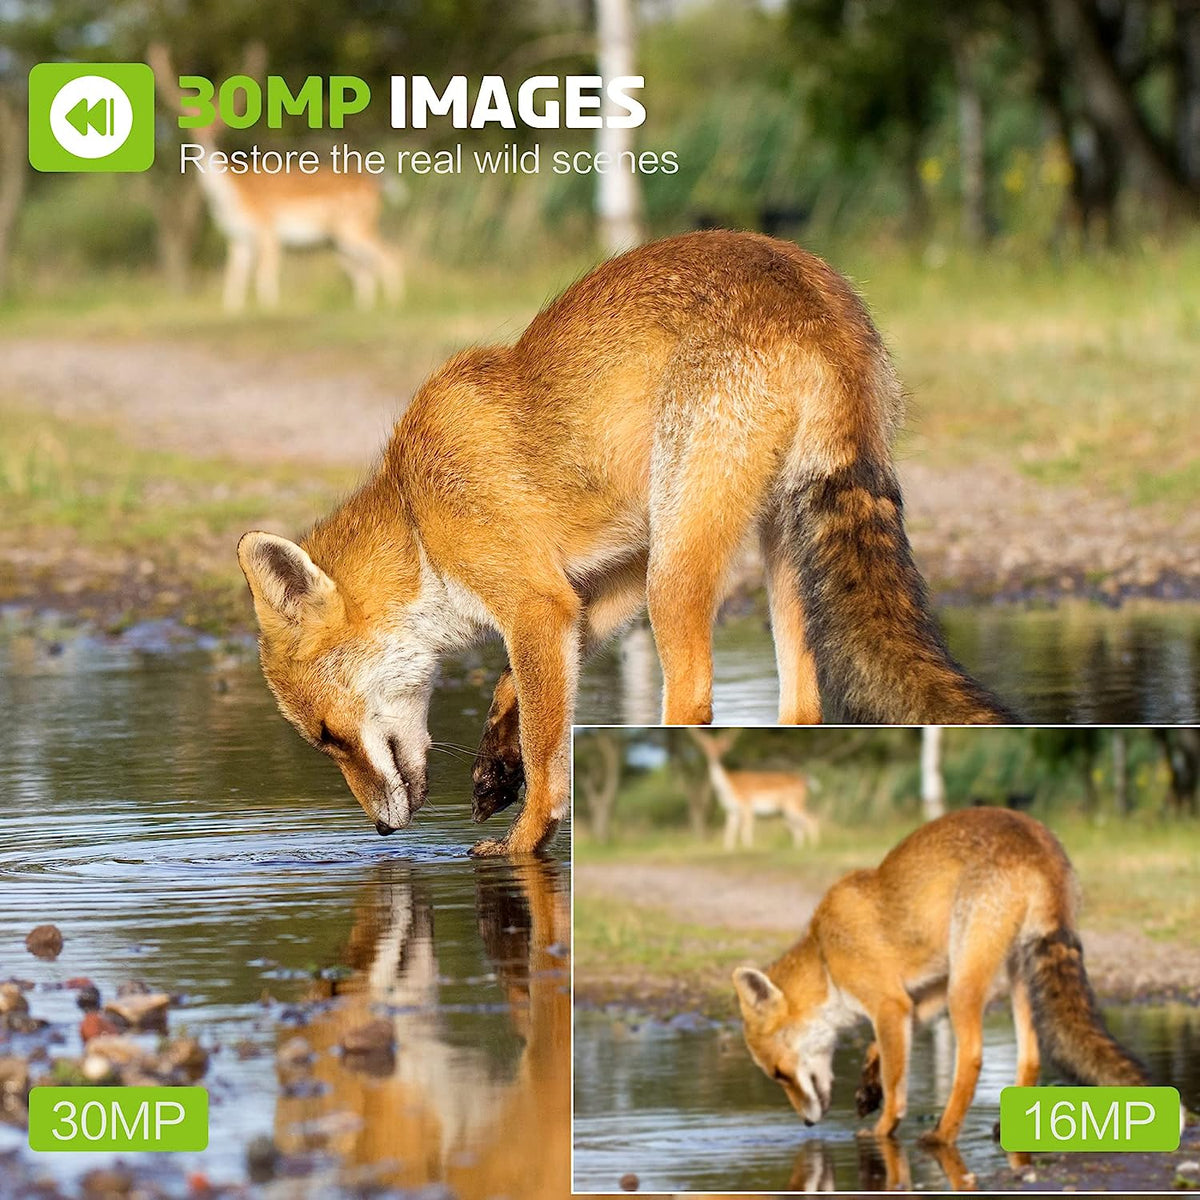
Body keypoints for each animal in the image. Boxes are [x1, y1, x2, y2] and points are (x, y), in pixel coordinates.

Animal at [148, 44, 403, 312]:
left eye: (219, 119)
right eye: (191, 118)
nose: (207, 134)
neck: (230, 196)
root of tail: (377, 185)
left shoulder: (268, 229)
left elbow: (265, 275)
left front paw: (268, 309)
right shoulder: (238, 239)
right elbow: (234, 279)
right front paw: (233, 311)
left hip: (354, 227)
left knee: (391, 256)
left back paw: (393, 307)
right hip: (338, 240)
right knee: (366, 271)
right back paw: (364, 310)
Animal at [691, 724, 820, 849]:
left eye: (720, 748)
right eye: (707, 747)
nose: (714, 756)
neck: (728, 787)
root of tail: (805, 780)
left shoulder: (747, 805)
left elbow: (746, 829)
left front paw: (748, 848)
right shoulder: (731, 810)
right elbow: (729, 832)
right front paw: (729, 850)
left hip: (794, 804)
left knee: (811, 820)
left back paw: (814, 846)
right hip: (786, 810)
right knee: (798, 827)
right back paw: (798, 848)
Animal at [729, 806, 1142, 1142]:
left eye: (779, 1074)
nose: (807, 1124)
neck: (826, 956)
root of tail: (1036, 841)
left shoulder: (889, 1003)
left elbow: (896, 1085)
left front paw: (883, 1130)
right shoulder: (922, 995)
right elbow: (877, 1049)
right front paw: (868, 1089)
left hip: (966, 986)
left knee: (972, 1057)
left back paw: (942, 1134)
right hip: (1014, 976)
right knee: (1031, 1058)